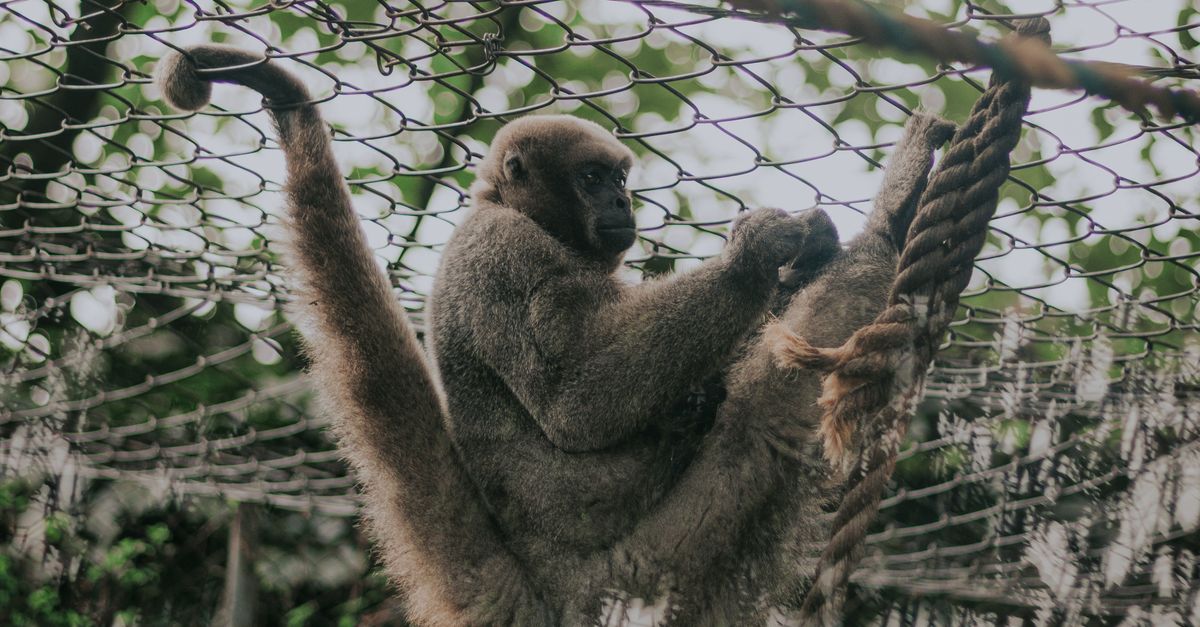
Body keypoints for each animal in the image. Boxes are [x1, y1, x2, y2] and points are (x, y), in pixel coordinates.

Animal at [155, 45, 952, 625]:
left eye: (621, 180)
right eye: (595, 178)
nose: (625, 203)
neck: (504, 207)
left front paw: (800, 255)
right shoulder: (505, 253)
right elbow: (579, 404)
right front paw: (758, 254)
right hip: (633, 576)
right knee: (760, 427)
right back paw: (891, 220)